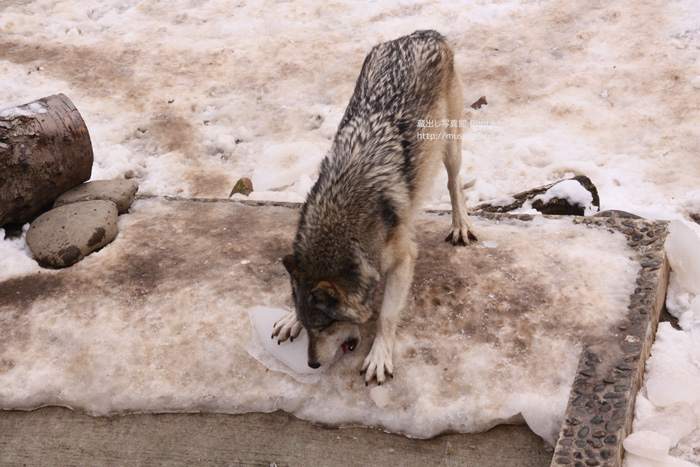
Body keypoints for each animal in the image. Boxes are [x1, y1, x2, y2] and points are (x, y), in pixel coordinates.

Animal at [270, 31, 474, 386]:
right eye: (310, 326)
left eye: (327, 326)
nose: (311, 364)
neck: (341, 219)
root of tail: (422, 34)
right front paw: (288, 318)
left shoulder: (404, 260)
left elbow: (387, 316)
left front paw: (379, 357)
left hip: (450, 146)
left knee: (454, 182)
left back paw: (460, 224)